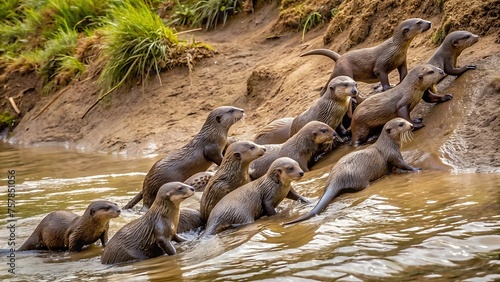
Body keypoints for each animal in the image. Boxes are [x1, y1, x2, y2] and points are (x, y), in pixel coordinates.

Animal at [284, 117, 420, 225]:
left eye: (405, 120)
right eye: (401, 124)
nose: (411, 125)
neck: (389, 144)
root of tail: (335, 179)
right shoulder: (393, 155)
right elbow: (403, 164)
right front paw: (416, 168)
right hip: (359, 178)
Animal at [300, 18, 434, 94]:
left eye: (422, 18)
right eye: (419, 23)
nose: (429, 23)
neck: (395, 49)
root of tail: (340, 57)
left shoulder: (401, 61)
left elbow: (404, 72)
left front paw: (401, 82)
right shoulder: (382, 63)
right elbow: (381, 74)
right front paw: (387, 88)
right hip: (343, 70)